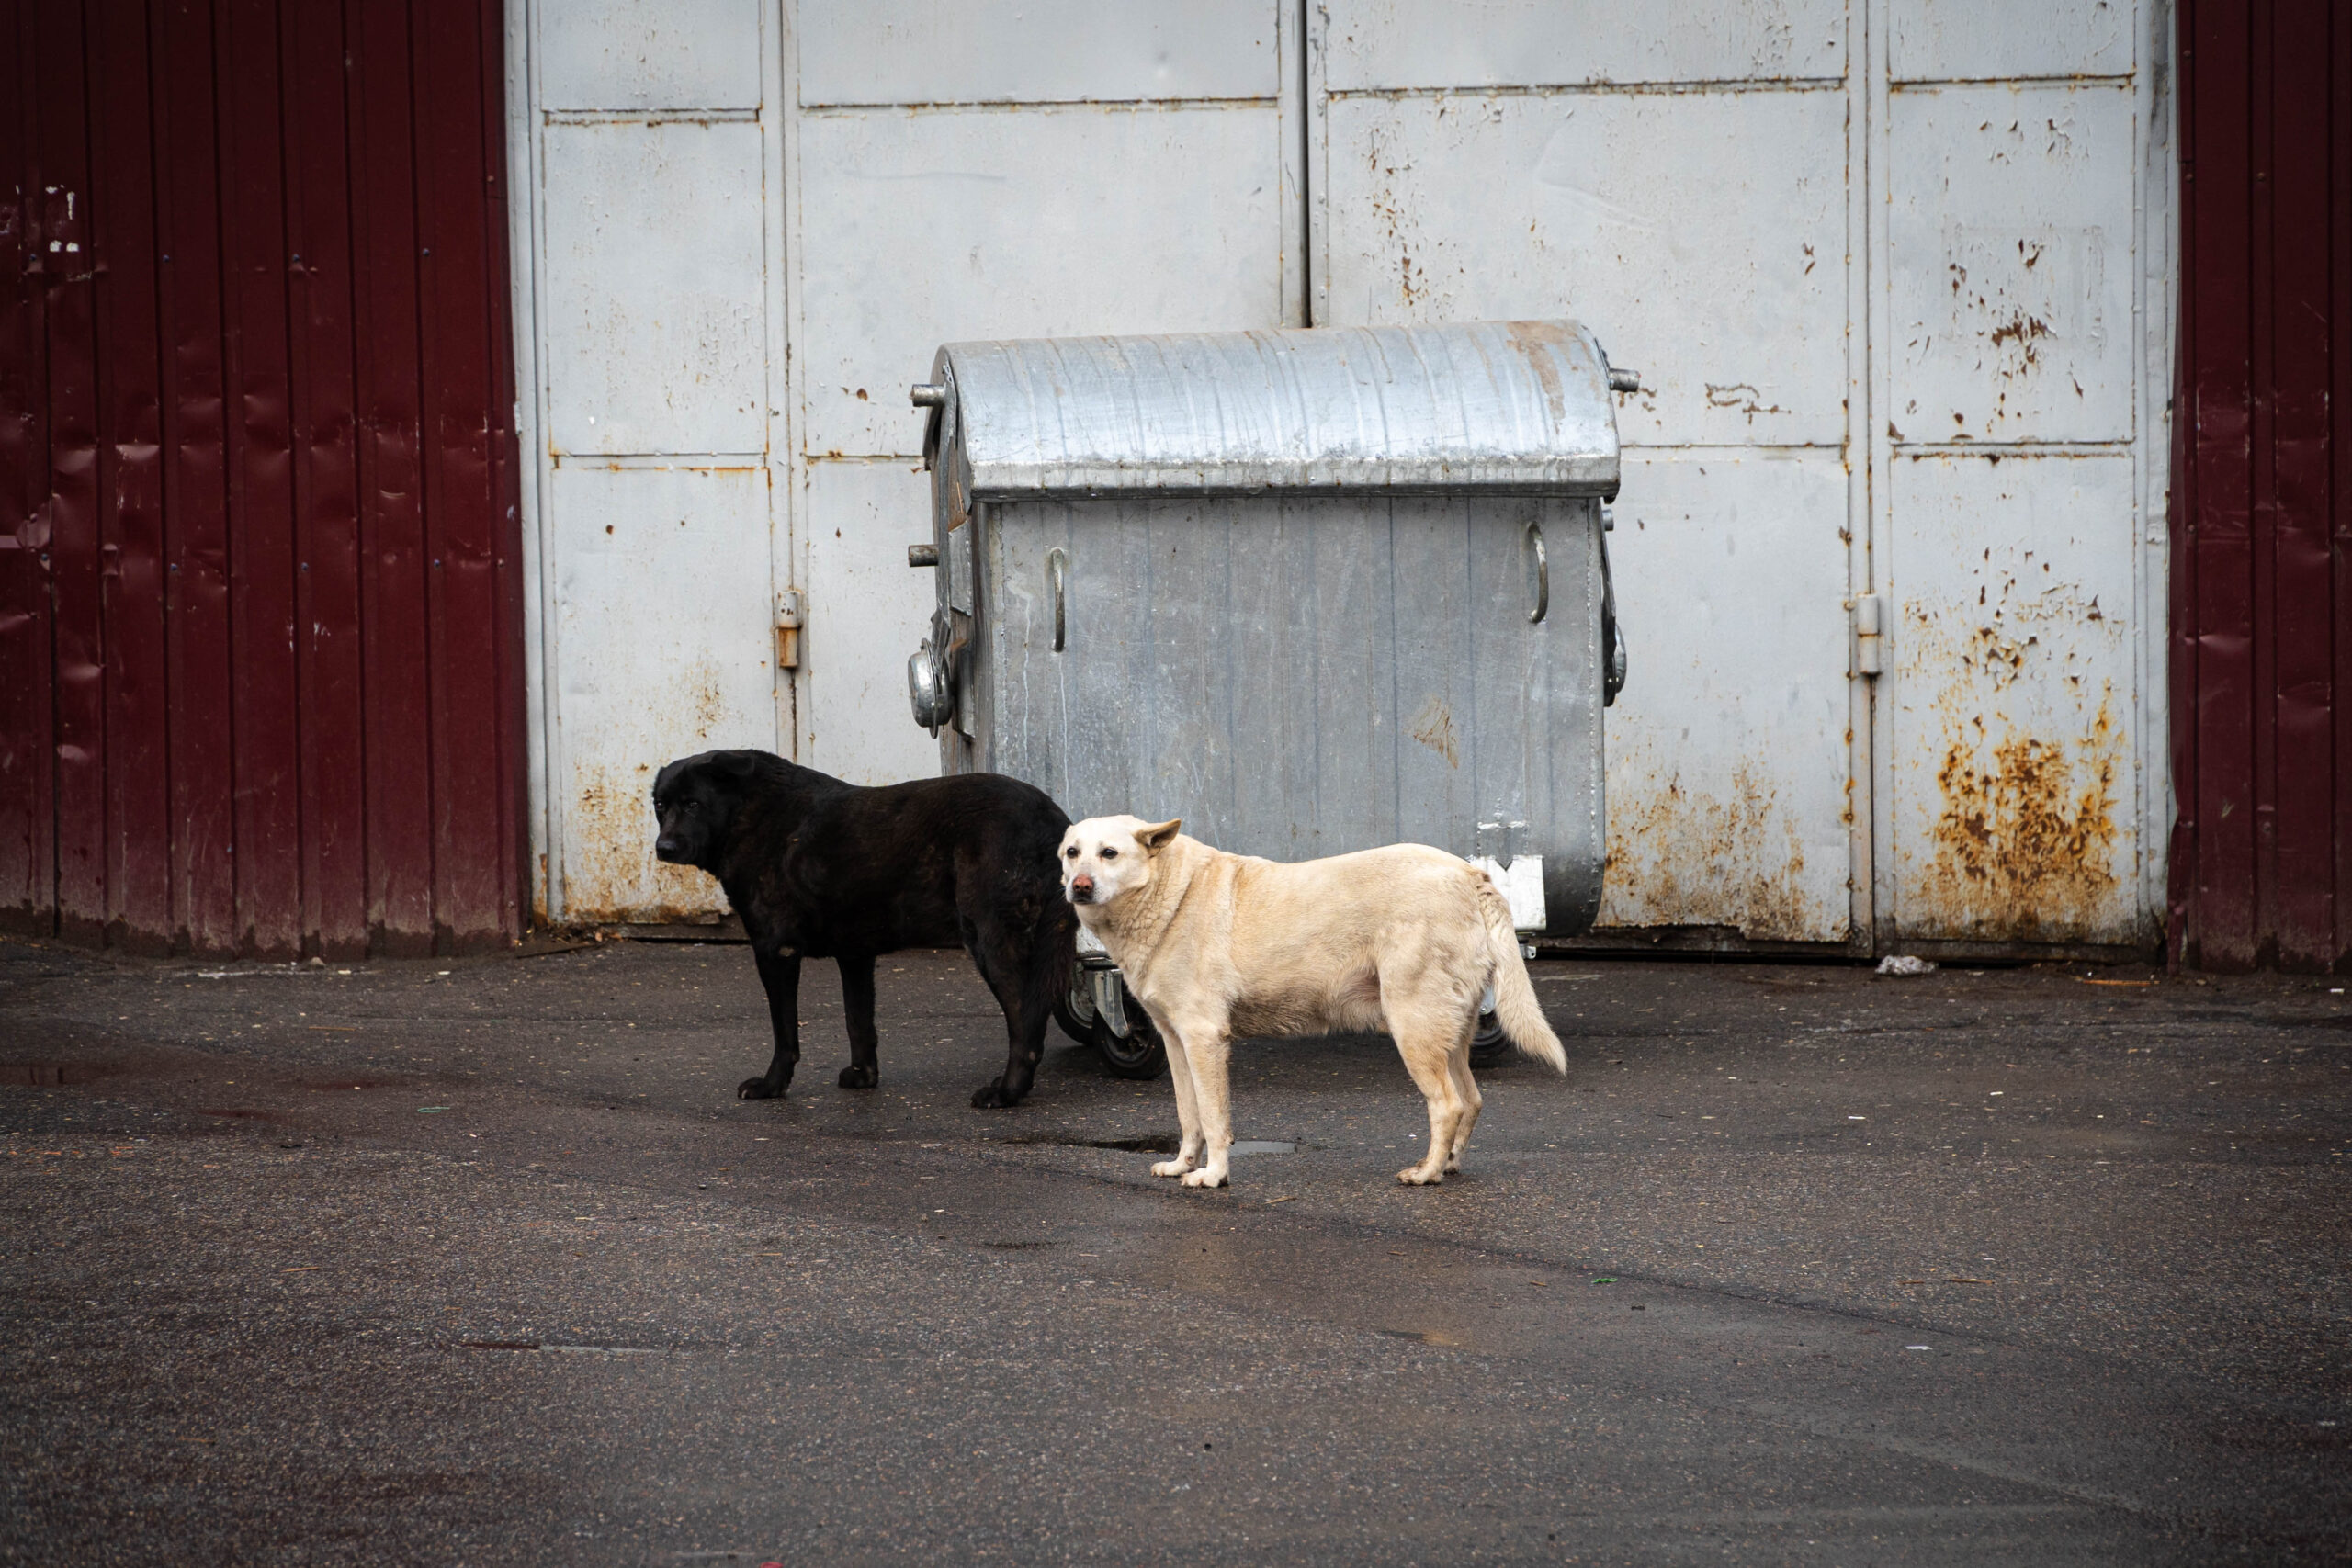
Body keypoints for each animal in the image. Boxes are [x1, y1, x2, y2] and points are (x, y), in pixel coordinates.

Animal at [653, 751, 1077, 1109]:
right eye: (660, 805)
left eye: (693, 804)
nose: (664, 848)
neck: (750, 814)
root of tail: (1053, 820)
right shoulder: (855, 955)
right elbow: (857, 1021)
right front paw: (864, 1076)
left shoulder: (776, 951)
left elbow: (785, 1032)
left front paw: (772, 1086)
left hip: (990, 940)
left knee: (1025, 1023)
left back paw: (1006, 1092)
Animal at [1068, 822, 1561, 1189]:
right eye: (1071, 853)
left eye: (1109, 853)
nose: (1079, 886)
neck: (1168, 891)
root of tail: (1470, 874)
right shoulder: (1176, 1041)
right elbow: (1188, 1115)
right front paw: (1182, 1165)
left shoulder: (1205, 1040)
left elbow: (1212, 1117)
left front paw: (1214, 1175)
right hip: (1448, 1034)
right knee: (1472, 1099)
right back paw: (1449, 1165)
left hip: (1412, 1030)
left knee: (1448, 1105)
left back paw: (1426, 1173)